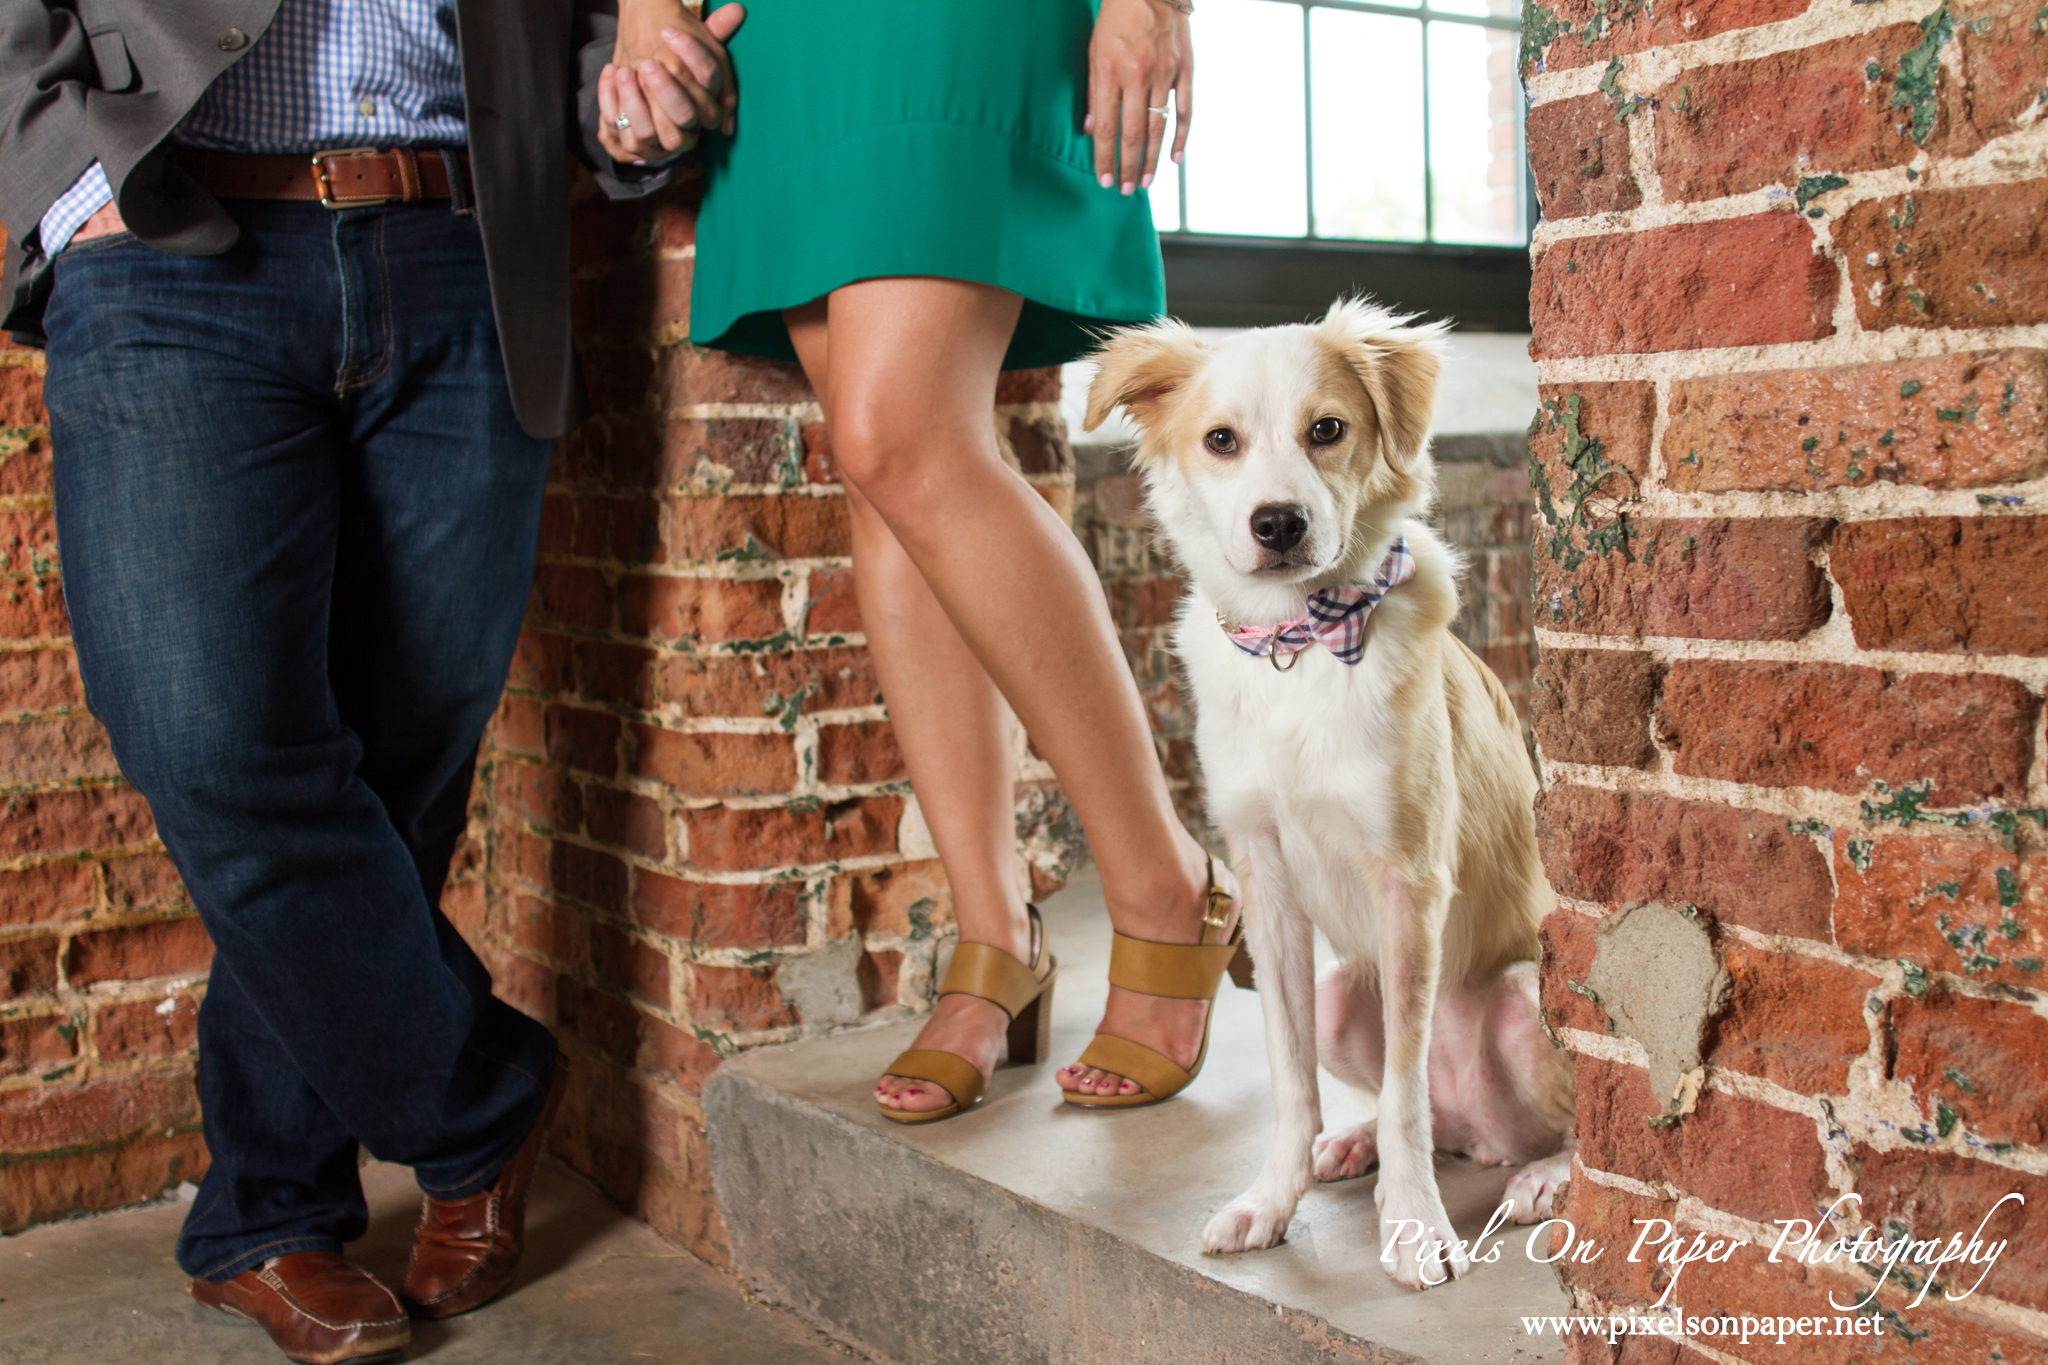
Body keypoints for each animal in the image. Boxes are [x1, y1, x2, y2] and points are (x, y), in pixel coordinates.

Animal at [1089, 300, 1564, 1293]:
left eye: (1328, 430)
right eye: (1220, 439)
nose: (1278, 522)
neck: (1300, 647)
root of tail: (1489, 1137)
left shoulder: (1408, 882)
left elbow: (1407, 1090)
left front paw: (1415, 1224)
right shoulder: (1265, 883)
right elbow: (1291, 1074)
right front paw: (1276, 1196)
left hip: (1521, 990)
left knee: (1548, 1120)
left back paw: (1542, 1174)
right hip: (1347, 987)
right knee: (1418, 1108)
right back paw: (1350, 1145)